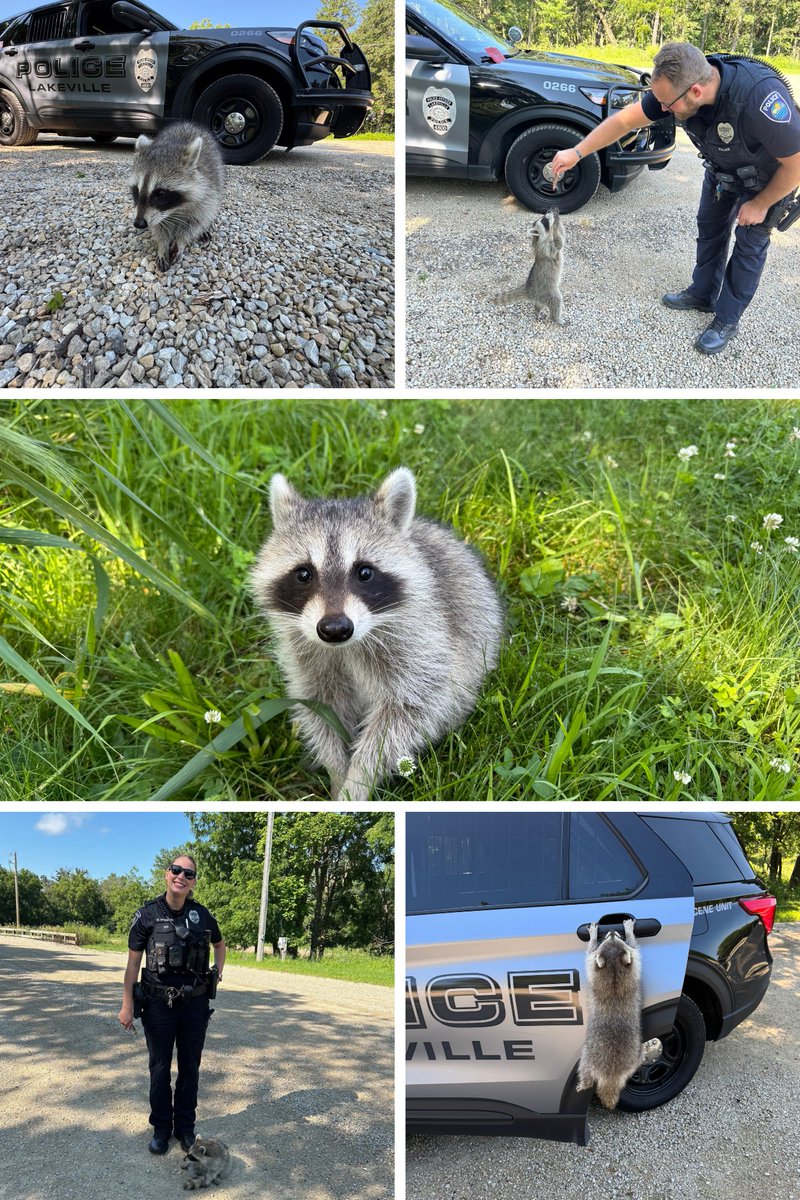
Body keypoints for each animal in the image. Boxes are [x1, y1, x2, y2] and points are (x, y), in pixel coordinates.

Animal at [130, 121, 224, 271]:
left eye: (161, 194)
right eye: (136, 190)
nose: (139, 223)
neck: (174, 210)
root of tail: (189, 124)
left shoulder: (207, 194)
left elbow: (195, 223)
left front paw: (181, 241)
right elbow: (159, 228)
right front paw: (162, 245)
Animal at [250, 468, 503, 802]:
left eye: (365, 572)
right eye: (304, 573)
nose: (335, 629)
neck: (348, 645)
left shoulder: (421, 647)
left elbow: (406, 716)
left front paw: (357, 783)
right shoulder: (307, 659)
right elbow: (321, 711)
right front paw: (336, 772)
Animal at [576, 920, 661, 1109]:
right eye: (610, 938)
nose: (612, 931)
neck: (614, 968)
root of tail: (611, 1075)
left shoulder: (629, 964)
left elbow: (592, 951)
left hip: (588, 1056)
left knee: (584, 1069)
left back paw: (583, 1083)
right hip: (629, 1059)